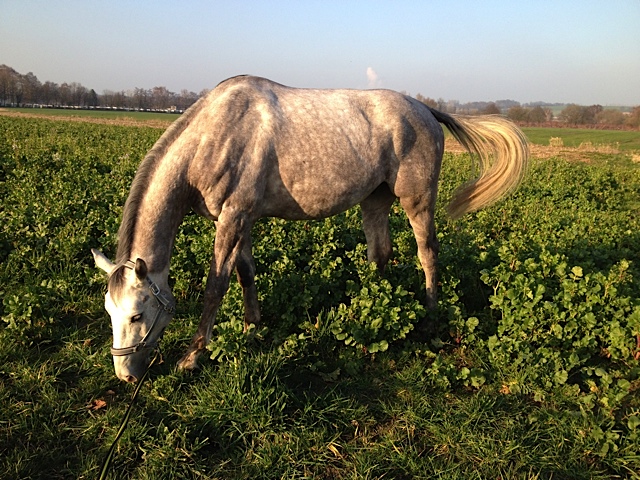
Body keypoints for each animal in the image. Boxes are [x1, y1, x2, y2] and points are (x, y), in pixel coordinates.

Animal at [91, 76, 528, 382]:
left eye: (136, 315)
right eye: (109, 311)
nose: (126, 375)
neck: (216, 134)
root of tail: (425, 109)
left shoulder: (232, 218)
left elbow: (216, 286)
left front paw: (193, 356)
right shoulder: (238, 218)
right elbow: (246, 273)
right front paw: (252, 327)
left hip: (417, 201)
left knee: (428, 254)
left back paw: (431, 316)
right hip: (375, 200)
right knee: (381, 253)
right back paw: (375, 307)